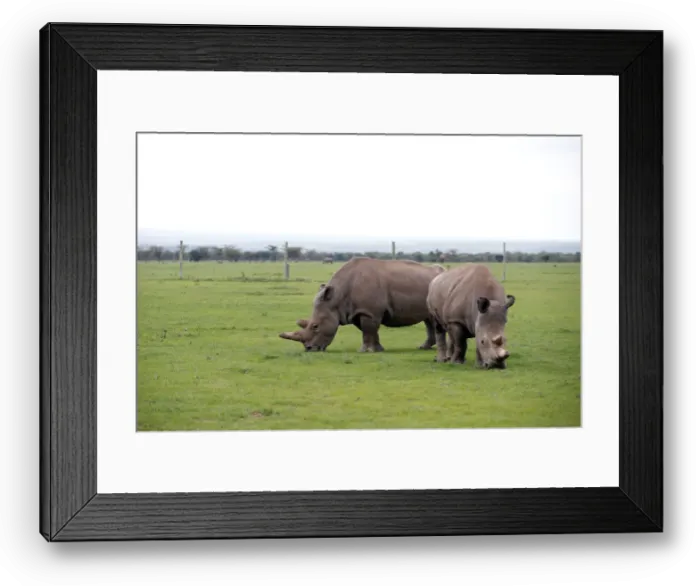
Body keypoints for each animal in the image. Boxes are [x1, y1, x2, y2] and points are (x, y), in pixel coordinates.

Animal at [278, 256, 446, 352]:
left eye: (315, 326)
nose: (309, 348)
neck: (337, 298)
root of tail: (443, 271)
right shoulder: (360, 311)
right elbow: (370, 331)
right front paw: (378, 349)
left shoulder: (368, 311)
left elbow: (367, 330)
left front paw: (364, 351)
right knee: (429, 320)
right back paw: (423, 347)